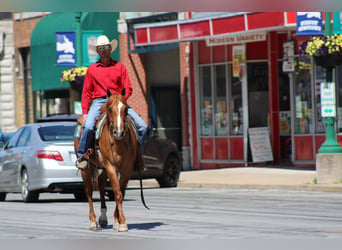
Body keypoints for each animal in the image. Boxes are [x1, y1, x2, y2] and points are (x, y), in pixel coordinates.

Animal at [73, 88, 148, 232]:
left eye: (126, 109)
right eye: (110, 109)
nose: (119, 132)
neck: (119, 143)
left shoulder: (127, 169)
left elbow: (120, 193)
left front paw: (117, 221)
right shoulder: (111, 166)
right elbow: (117, 193)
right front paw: (123, 222)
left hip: (104, 168)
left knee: (101, 182)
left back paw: (103, 218)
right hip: (88, 168)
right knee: (88, 191)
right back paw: (93, 221)